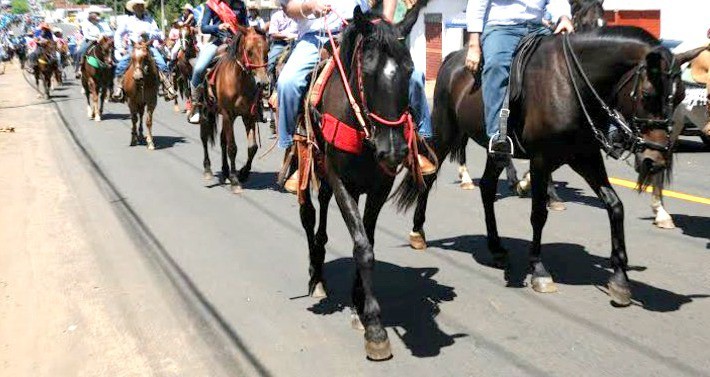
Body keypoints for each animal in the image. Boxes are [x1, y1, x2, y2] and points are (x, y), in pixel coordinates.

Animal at [202, 25, 272, 194]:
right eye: (249, 51)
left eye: (267, 50)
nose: (263, 83)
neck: (238, 81)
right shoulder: (228, 114)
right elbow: (232, 148)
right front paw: (235, 180)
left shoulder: (248, 116)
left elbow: (252, 147)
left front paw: (243, 174)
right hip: (206, 111)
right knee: (204, 137)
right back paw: (208, 169)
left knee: (222, 140)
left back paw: (225, 171)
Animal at [298, 5, 428, 358]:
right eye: (367, 71)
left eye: (410, 70)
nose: (394, 150)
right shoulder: (342, 181)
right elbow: (362, 247)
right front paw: (375, 327)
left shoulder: (380, 187)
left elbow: (368, 240)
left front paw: (359, 301)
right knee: (309, 215)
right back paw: (315, 275)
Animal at [394, 27, 708, 306]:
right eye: (646, 95)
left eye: (681, 96)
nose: (655, 160)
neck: (572, 83)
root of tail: (453, 59)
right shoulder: (541, 160)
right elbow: (538, 214)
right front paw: (539, 270)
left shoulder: (585, 156)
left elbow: (615, 206)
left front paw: (620, 279)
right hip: (446, 131)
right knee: (429, 177)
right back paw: (418, 232)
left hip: (494, 149)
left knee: (487, 188)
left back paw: (496, 247)